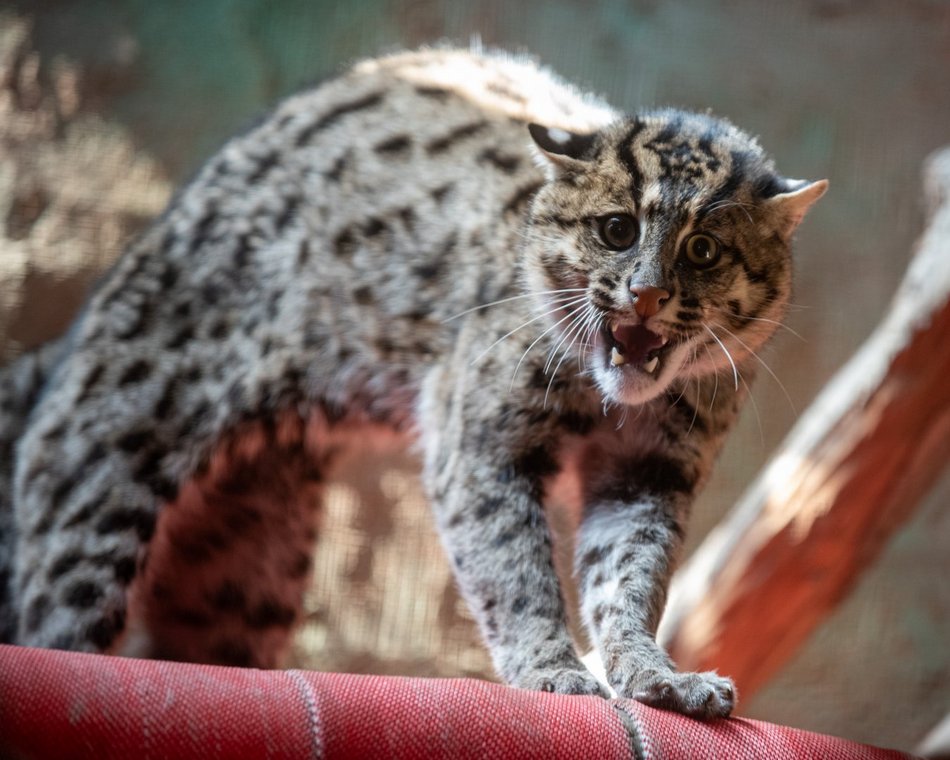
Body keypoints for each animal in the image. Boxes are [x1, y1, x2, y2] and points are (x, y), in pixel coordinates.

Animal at [0, 49, 824, 720]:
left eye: (705, 249)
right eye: (616, 228)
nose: (646, 296)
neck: (607, 402)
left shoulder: (652, 471)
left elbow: (630, 574)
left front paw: (655, 676)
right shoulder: (481, 442)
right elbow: (513, 566)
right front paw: (551, 670)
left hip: (245, 566)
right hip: (103, 477)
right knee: (51, 622)